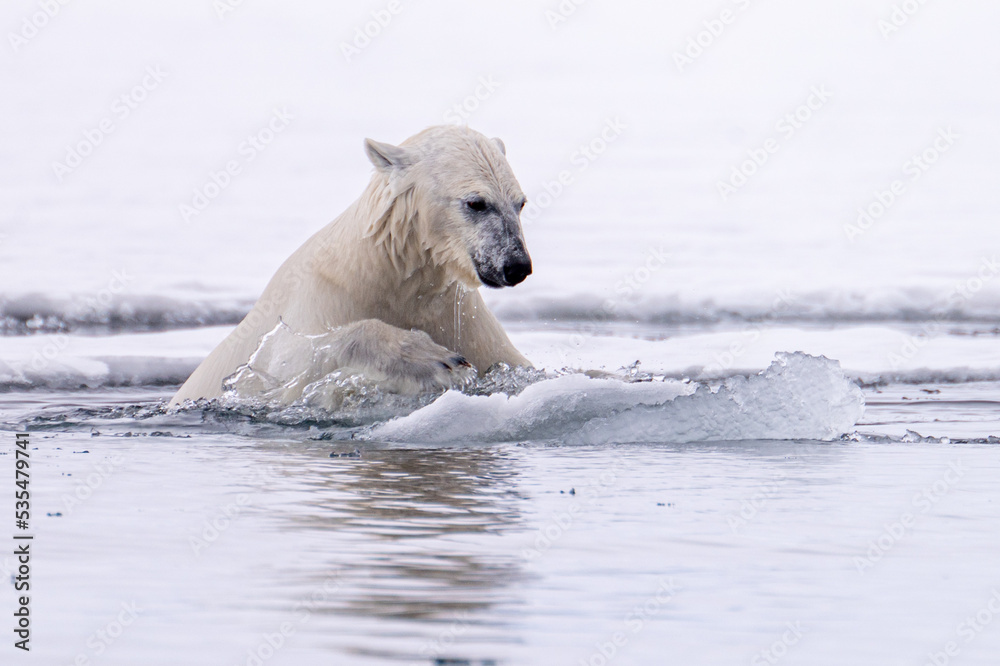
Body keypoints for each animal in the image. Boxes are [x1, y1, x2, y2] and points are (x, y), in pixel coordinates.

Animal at [169, 125, 532, 407]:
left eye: (520, 203)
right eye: (476, 203)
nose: (517, 265)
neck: (385, 269)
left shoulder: (462, 318)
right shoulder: (320, 297)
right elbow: (286, 362)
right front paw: (433, 358)